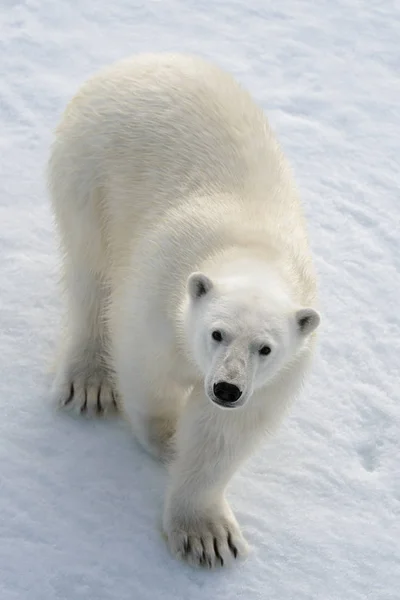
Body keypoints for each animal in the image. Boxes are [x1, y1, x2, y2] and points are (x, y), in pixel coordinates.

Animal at [48, 51, 320, 568]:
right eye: (216, 333)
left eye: (265, 348)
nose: (227, 387)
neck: (251, 247)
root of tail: (140, 59)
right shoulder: (160, 294)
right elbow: (147, 370)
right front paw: (168, 438)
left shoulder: (283, 370)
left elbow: (224, 435)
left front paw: (209, 537)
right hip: (90, 171)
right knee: (91, 271)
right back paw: (89, 383)